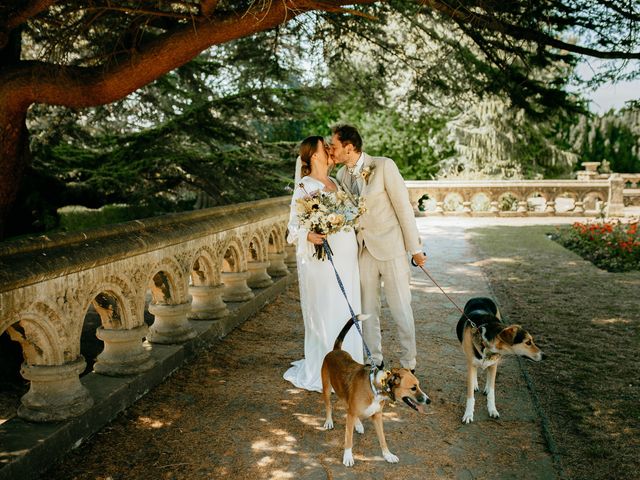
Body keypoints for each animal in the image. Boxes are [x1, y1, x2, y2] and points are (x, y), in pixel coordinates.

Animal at [320, 316, 430, 466]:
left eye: (418, 385)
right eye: (413, 388)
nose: (429, 401)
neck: (376, 388)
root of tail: (336, 350)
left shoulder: (377, 416)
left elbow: (383, 439)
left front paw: (388, 455)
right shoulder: (353, 414)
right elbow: (348, 439)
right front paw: (348, 457)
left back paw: (358, 424)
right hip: (326, 388)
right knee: (329, 406)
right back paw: (329, 421)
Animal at [456, 296, 544, 424]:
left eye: (531, 341)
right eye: (528, 342)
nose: (544, 355)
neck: (486, 343)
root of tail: (480, 297)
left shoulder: (494, 364)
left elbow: (492, 392)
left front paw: (492, 410)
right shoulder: (471, 363)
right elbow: (470, 395)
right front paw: (468, 414)